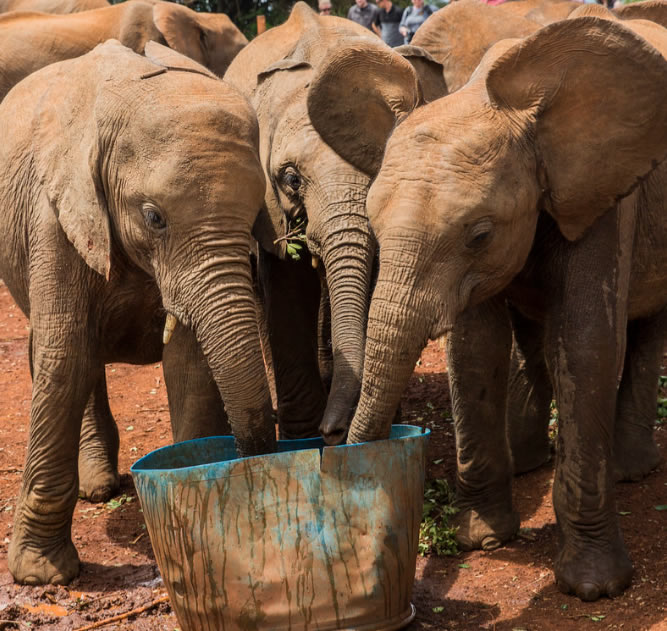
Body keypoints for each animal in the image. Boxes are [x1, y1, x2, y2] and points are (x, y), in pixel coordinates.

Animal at [0, 39, 275, 585]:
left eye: (257, 214)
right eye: (154, 217)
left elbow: (189, 364)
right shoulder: (54, 215)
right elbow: (64, 362)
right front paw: (43, 576)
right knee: (67, 357)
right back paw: (98, 488)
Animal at [343, 16, 667, 601]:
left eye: (480, 234)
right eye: (374, 227)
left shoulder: (602, 192)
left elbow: (586, 343)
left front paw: (595, 587)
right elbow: (474, 351)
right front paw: (481, 540)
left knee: (646, 326)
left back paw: (630, 471)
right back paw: (533, 461)